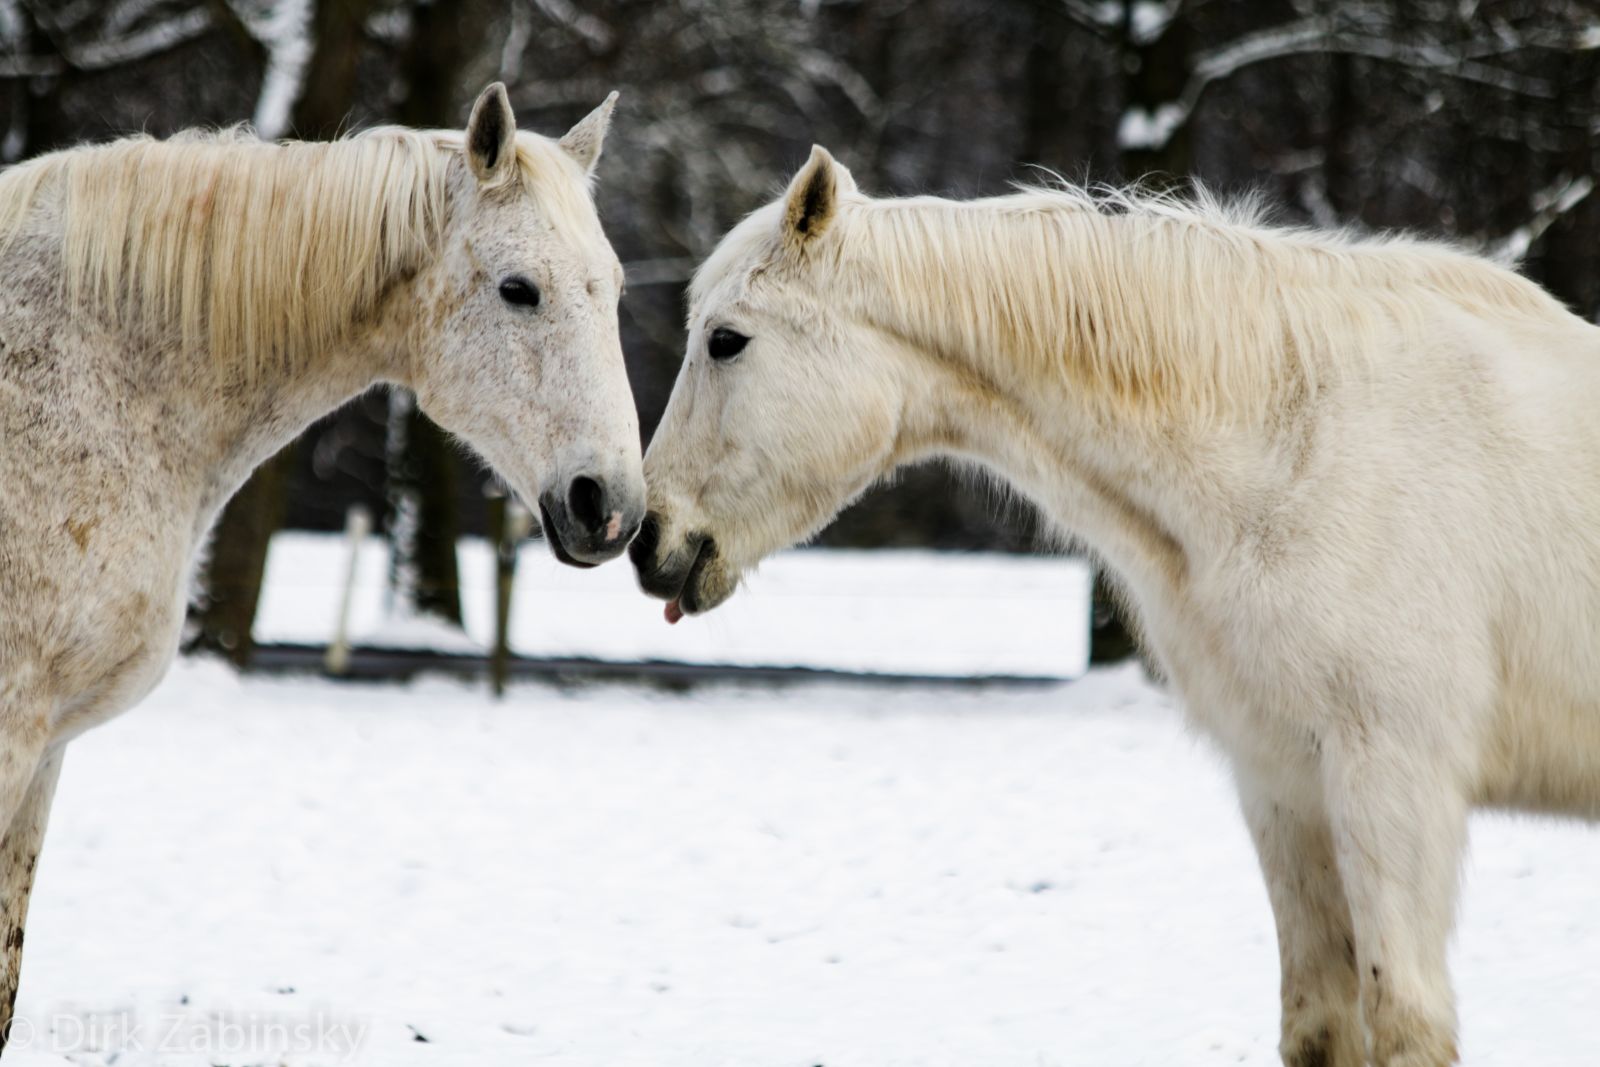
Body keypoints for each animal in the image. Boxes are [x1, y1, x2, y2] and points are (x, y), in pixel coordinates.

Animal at [633, 147, 1600, 1067]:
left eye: (726, 340)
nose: (648, 539)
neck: (1296, 444)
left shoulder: (1395, 778)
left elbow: (1404, 1023)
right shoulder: (1284, 780)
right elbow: (1320, 1026)